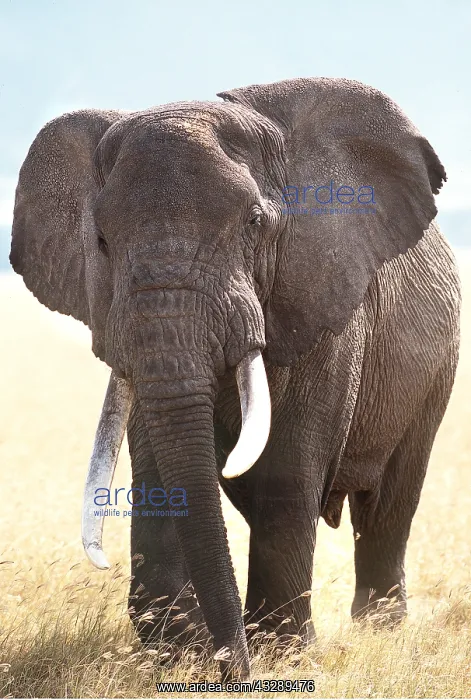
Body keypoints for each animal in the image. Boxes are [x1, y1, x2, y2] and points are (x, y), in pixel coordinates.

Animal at [10, 77, 460, 680]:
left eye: (254, 222)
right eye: (101, 241)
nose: (231, 669)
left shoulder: (323, 302)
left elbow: (286, 479)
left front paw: (280, 656)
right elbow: (163, 474)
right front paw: (178, 657)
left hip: (436, 371)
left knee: (387, 506)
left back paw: (381, 632)